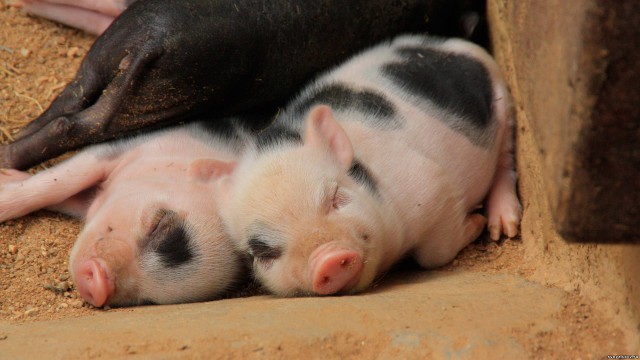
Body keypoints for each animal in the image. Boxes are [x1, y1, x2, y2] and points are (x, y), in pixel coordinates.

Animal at [2, 0, 484, 170]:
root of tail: (151, 42)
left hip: (107, 50)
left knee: (69, 101)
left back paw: (11, 147)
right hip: (166, 95)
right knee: (77, 125)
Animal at [215, 35, 520, 296]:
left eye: (335, 197)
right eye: (263, 252)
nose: (327, 258)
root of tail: (452, 43)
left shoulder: (430, 184)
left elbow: (434, 253)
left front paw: (477, 222)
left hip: (503, 102)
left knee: (505, 161)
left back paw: (502, 227)